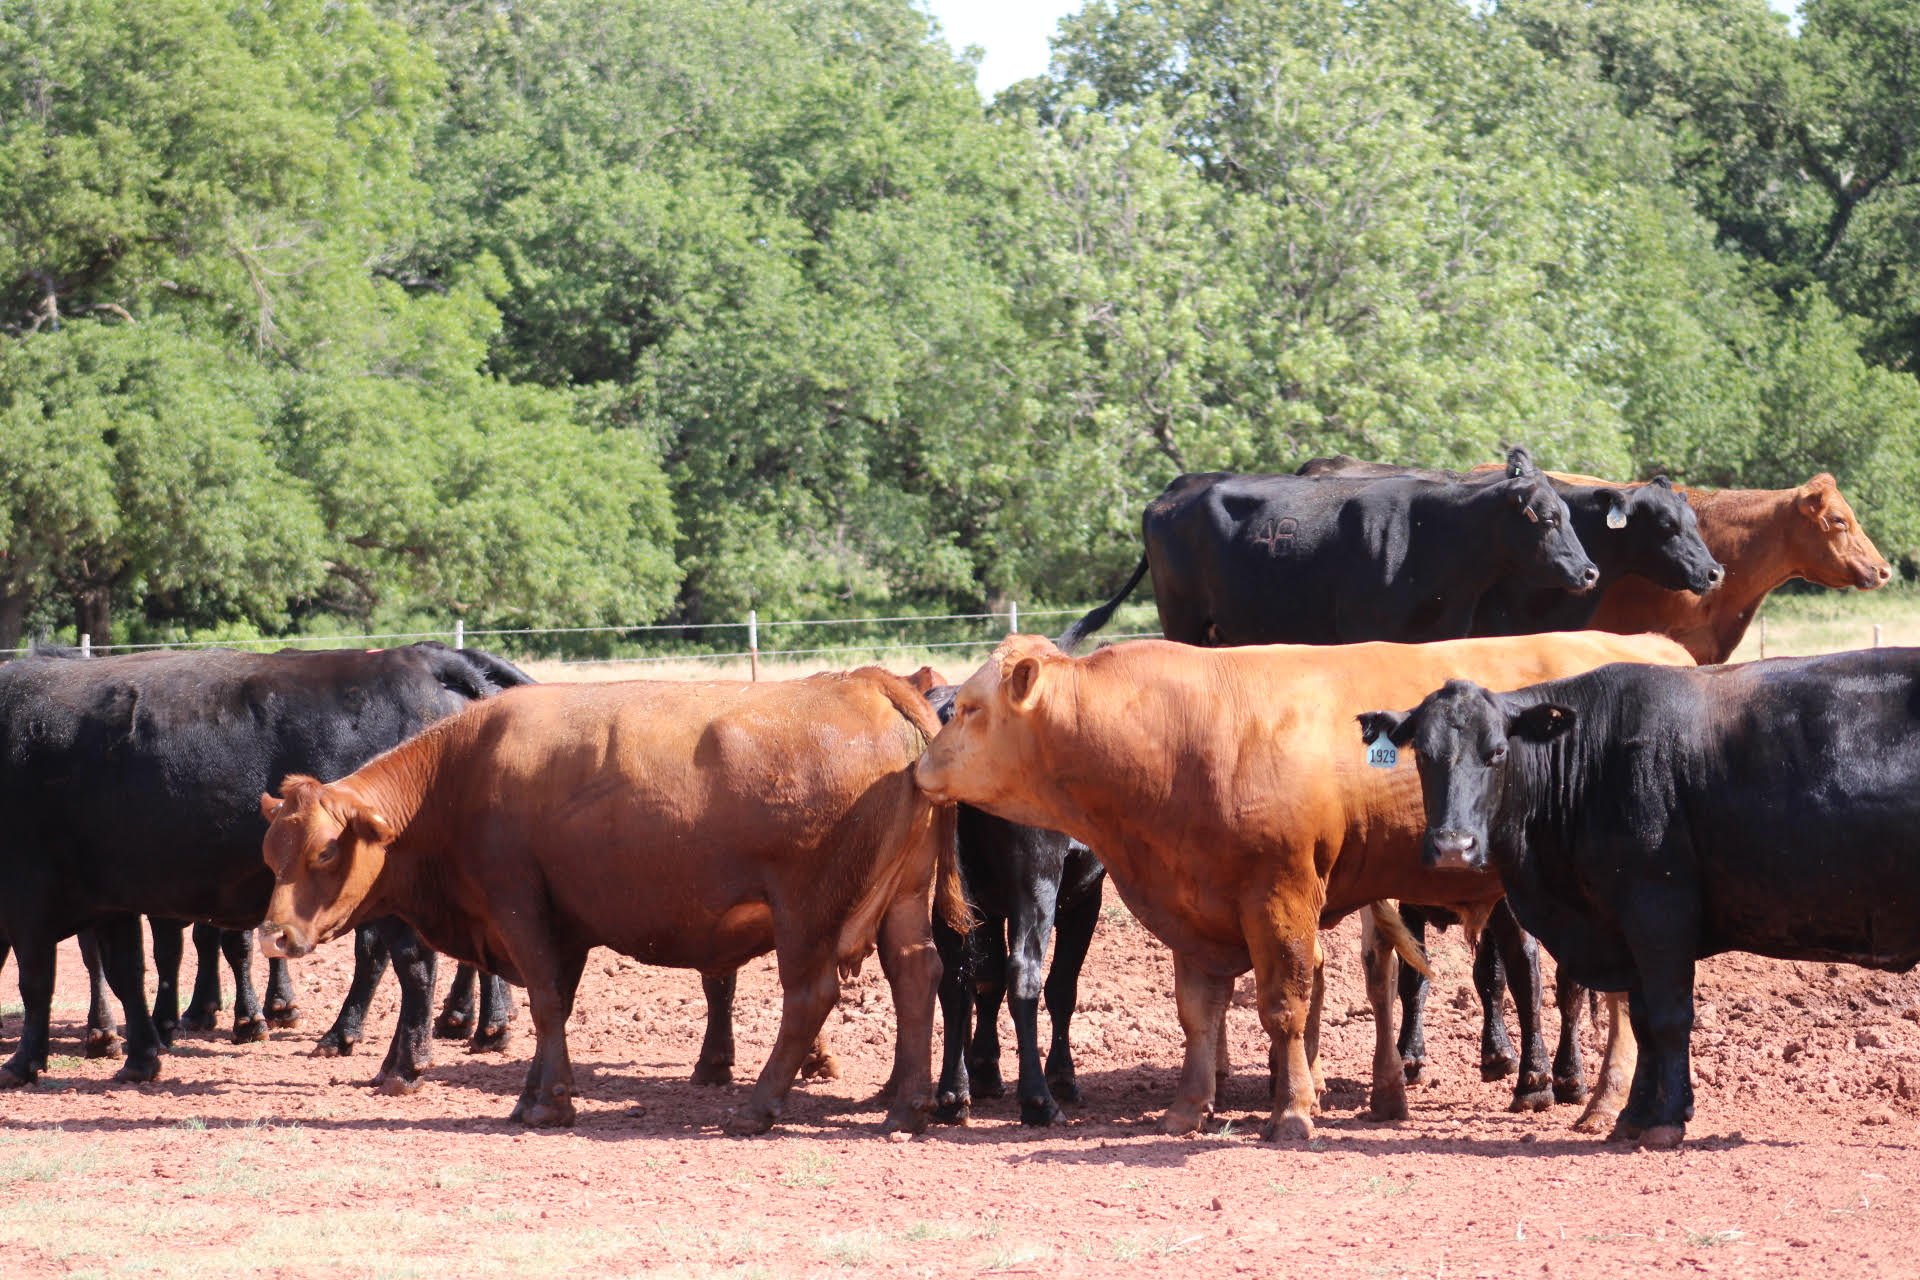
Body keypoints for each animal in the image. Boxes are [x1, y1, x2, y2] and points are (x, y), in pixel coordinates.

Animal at [0, 644, 526, 1090]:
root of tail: (421, 657)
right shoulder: (111, 900)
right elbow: (126, 972)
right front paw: (140, 1057)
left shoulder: (29, 896)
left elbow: (36, 981)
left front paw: (24, 1063)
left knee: (411, 964)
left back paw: (408, 1061)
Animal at [257, 671, 967, 1128]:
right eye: (271, 855)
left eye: (325, 852)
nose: (274, 935)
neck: (460, 774)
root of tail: (868, 685)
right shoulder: (563, 925)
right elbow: (557, 1007)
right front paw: (533, 1094)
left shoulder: (518, 907)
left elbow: (546, 1003)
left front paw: (550, 1104)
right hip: (904, 897)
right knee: (915, 974)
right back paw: (906, 1108)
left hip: (805, 912)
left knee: (810, 997)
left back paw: (757, 1108)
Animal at [1059, 449, 1597, 652]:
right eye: (1549, 518)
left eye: (1569, 516)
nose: (1590, 572)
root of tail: (1177, 487)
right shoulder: (1363, 633)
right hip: (1182, 619)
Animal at [1367, 656, 1920, 1143]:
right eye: (1422, 754)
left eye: (1498, 751)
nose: (1453, 846)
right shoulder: (1622, 926)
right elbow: (1642, 1020)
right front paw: (1633, 1115)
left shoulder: (1658, 910)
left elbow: (1669, 1017)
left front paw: (1667, 1119)